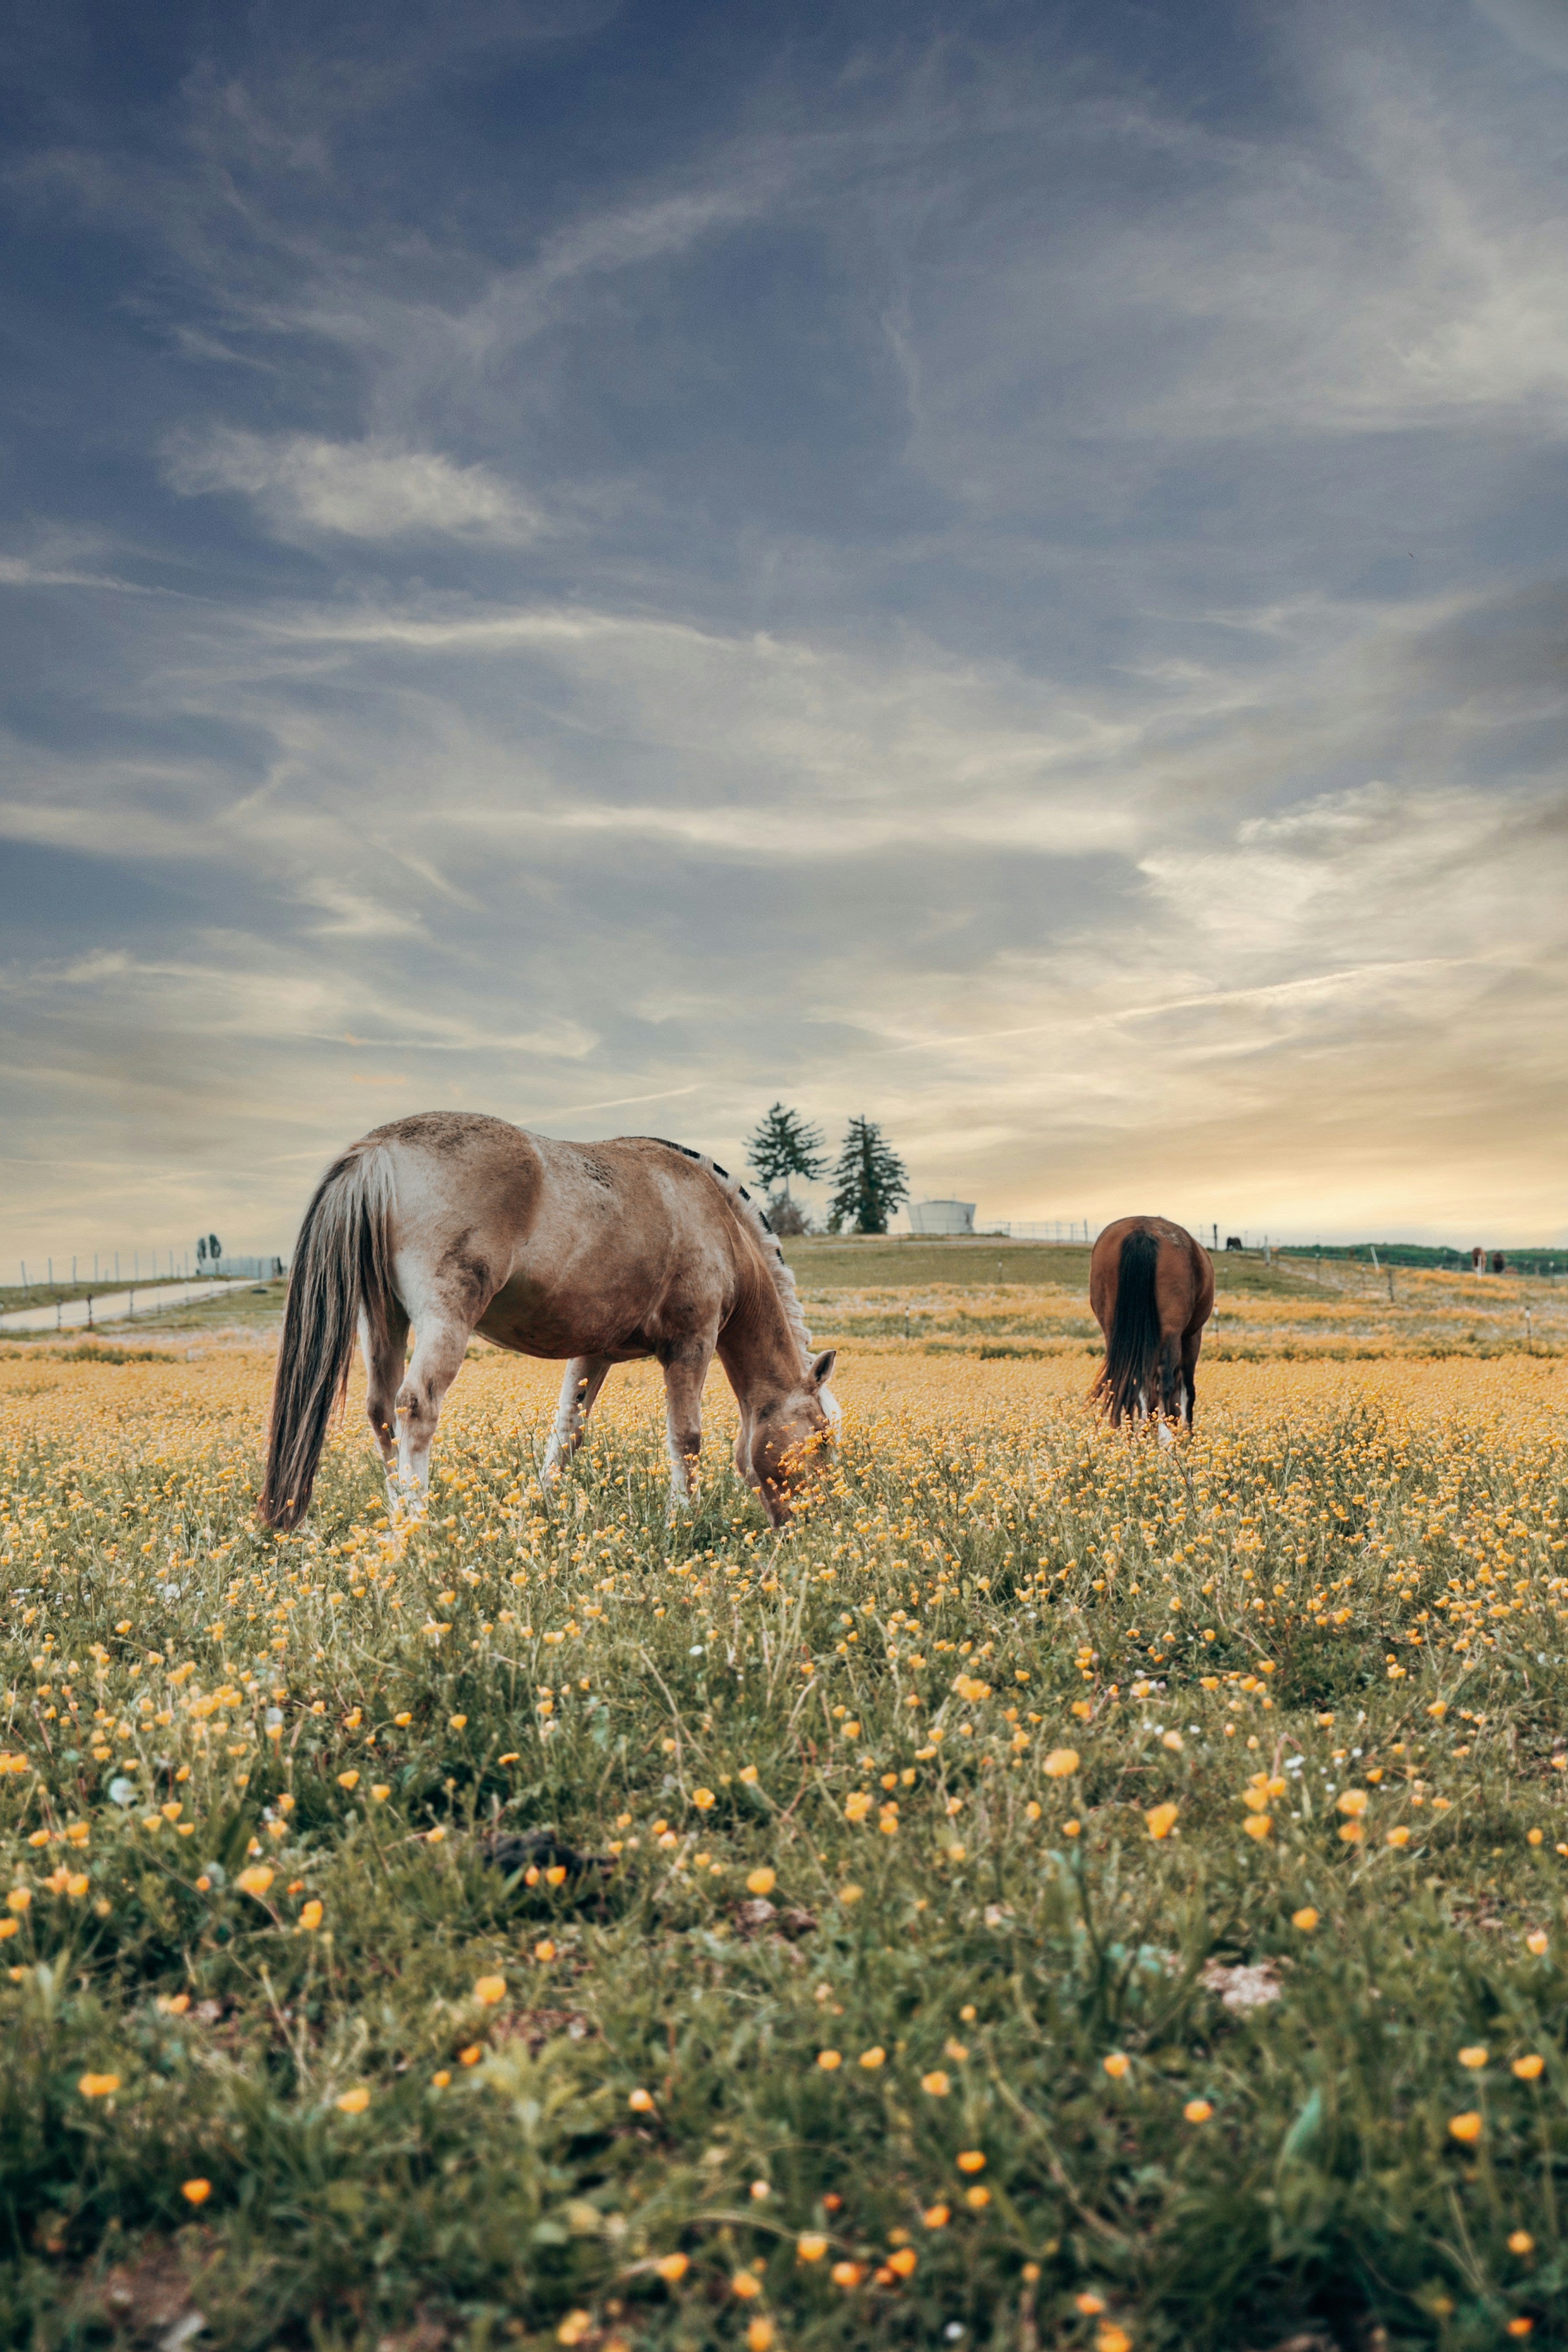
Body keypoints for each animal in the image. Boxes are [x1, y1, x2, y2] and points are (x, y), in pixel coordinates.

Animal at [263, 1110, 841, 1533]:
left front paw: (541, 1506)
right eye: (821, 1440)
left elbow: (566, 1434)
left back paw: (396, 1517)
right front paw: (682, 1519)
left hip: (384, 1319)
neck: (718, 1225)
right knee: (415, 1408)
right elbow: (687, 1437)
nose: (814, 1524)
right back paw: (419, 1526)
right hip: (444, 1319)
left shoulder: (594, 1354)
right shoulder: (691, 1344)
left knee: (382, 1411)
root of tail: (378, 1148)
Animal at [1091, 1223, 1213, 1420]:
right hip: (1172, 1332)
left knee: (1127, 1382)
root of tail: (1141, 1231)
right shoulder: (1192, 1337)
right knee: (1165, 1382)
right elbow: (1187, 1391)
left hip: (1114, 1333)